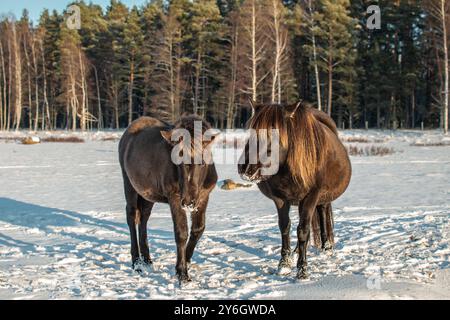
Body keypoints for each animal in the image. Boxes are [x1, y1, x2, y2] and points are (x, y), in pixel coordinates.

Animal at [119, 114, 218, 282]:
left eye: (203, 161)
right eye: (177, 159)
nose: (188, 201)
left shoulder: (204, 196)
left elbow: (198, 229)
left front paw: (187, 259)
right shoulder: (175, 198)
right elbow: (181, 232)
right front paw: (182, 272)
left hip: (148, 194)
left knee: (143, 218)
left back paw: (147, 259)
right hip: (129, 185)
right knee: (132, 217)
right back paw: (137, 263)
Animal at [237, 101, 354, 278]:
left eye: (274, 133)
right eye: (251, 131)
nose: (246, 168)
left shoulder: (310, 197)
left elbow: (303, 230)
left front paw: (302, 269)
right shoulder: (280, 199)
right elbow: (285, 227)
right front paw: (284, 264)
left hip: (322, 198)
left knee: (322, 213)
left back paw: (326, 247)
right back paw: (299, 250)